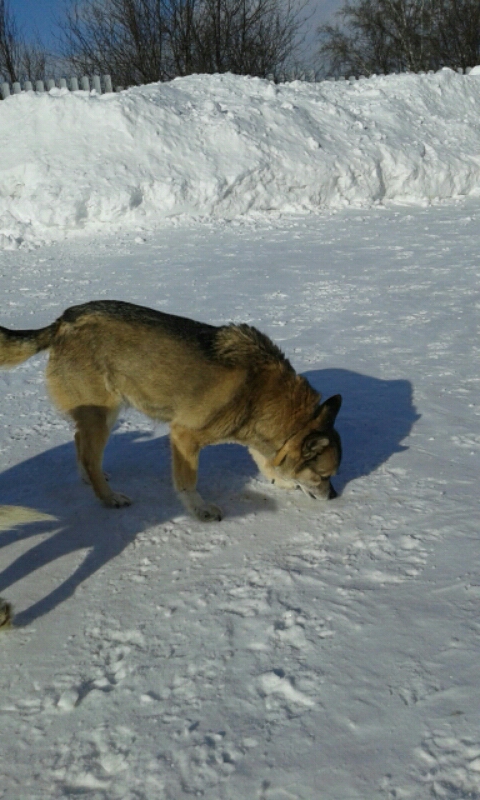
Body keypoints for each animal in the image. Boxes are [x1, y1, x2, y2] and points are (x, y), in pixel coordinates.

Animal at [0, 301, 342, 521]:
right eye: (324, 476)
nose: (335, 497)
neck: (260, 392)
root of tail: (63, 321)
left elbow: (265, 460)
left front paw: (279, 480)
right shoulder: (184, 436)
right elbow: (188, 482)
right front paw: (200, 510)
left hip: (101, 416)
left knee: (79, 444)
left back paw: (90, 479)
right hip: (104, 415)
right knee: (88, 454)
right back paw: (108, 497)